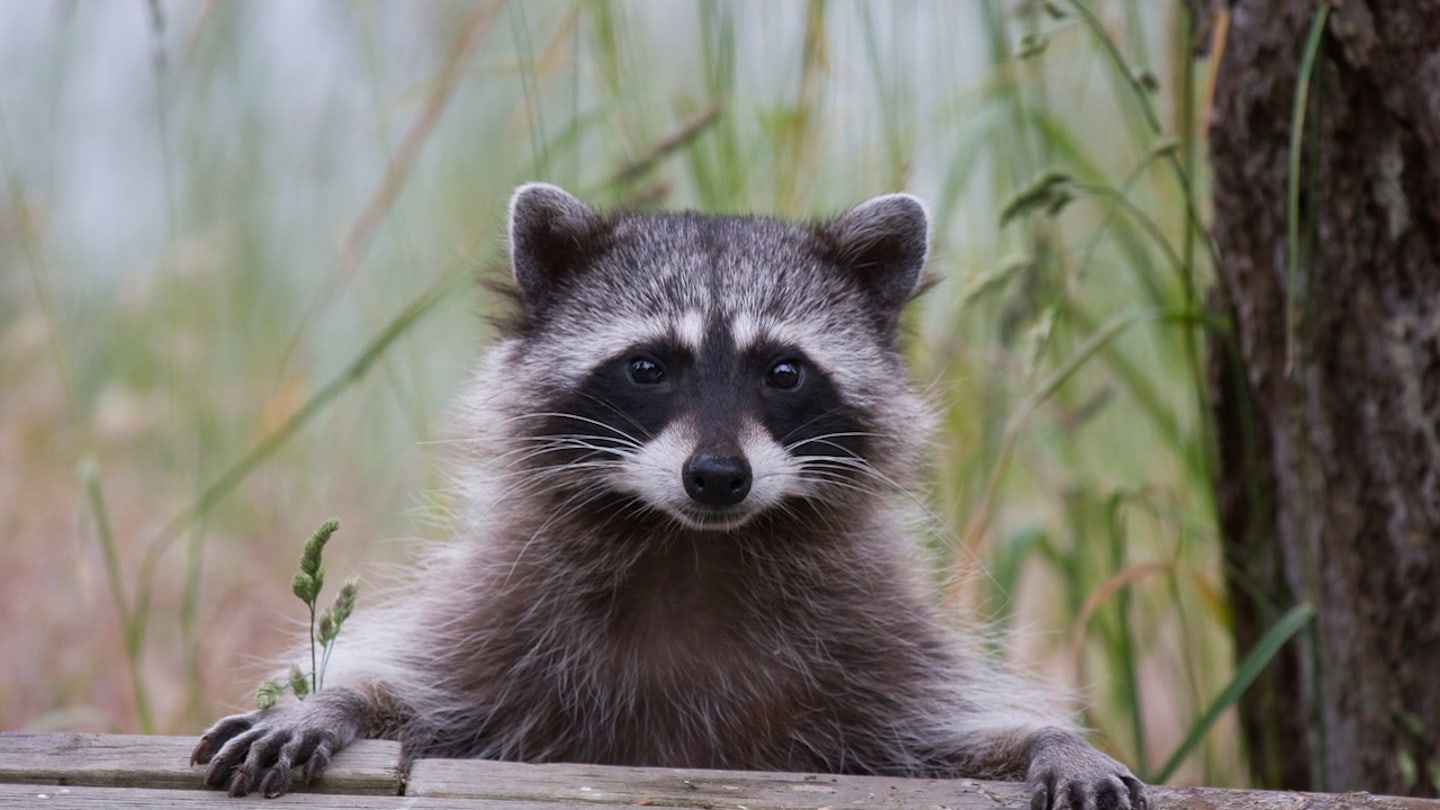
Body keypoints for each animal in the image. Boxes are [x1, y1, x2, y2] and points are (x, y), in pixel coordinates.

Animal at [191, 183, 1140, 807]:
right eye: (647, 367)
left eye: (783, 371)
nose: (717, 477)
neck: (696, 545)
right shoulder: (504, 615)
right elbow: (419, 689)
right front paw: (332, 701)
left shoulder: (871, 645)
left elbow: (944, 736)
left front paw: (1050, 741)